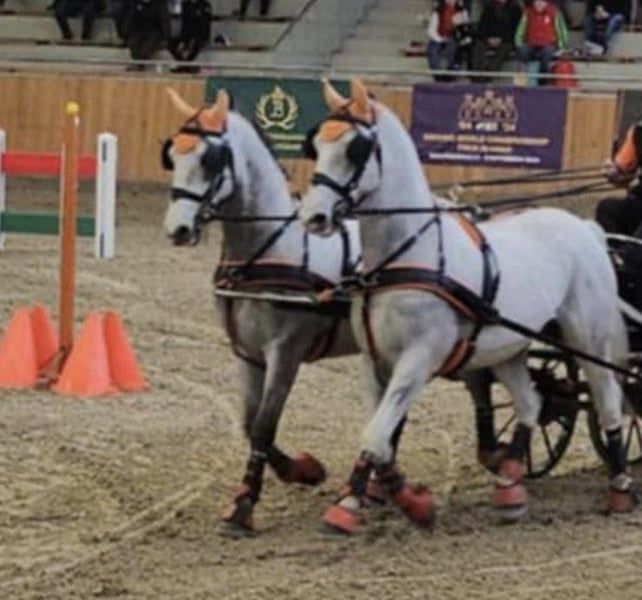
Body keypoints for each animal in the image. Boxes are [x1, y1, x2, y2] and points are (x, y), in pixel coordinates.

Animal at [161, 88, 365, 537]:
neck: (268, 250)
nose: (177, 230)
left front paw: (243, 507)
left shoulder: (285, 353)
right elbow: (248, 422)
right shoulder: (247, 354)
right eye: (172, 154)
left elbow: (263, 424)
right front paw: (303, 470)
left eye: (210, 159)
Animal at [299, 78, 636, 534]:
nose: (313, 217)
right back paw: (510, 486)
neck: (407, 254)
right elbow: (380, 436)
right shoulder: (374, 360)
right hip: (510, 348)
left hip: (589, 339)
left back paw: (619, 487)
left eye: (357, 149)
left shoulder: (419, 359)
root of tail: (585, 228)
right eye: (316, 144)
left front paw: (374, 506)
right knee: (532, 403)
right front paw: (378, 499)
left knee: (608, 403)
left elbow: (375, 435)